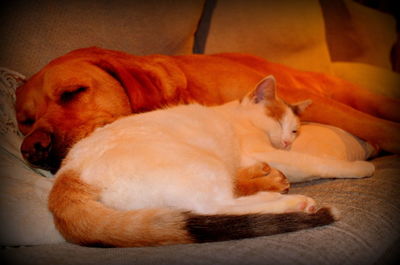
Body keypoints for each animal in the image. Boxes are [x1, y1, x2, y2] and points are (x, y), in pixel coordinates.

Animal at [47, 75, 366, 246]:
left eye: (295, 129)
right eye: (278, 121)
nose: (288, 141)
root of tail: (67, 172)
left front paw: (265, 174)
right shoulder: (263, 151)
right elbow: (314, 163)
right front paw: (361, 168)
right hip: (200, 165)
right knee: (216, 206)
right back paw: (295, 202)